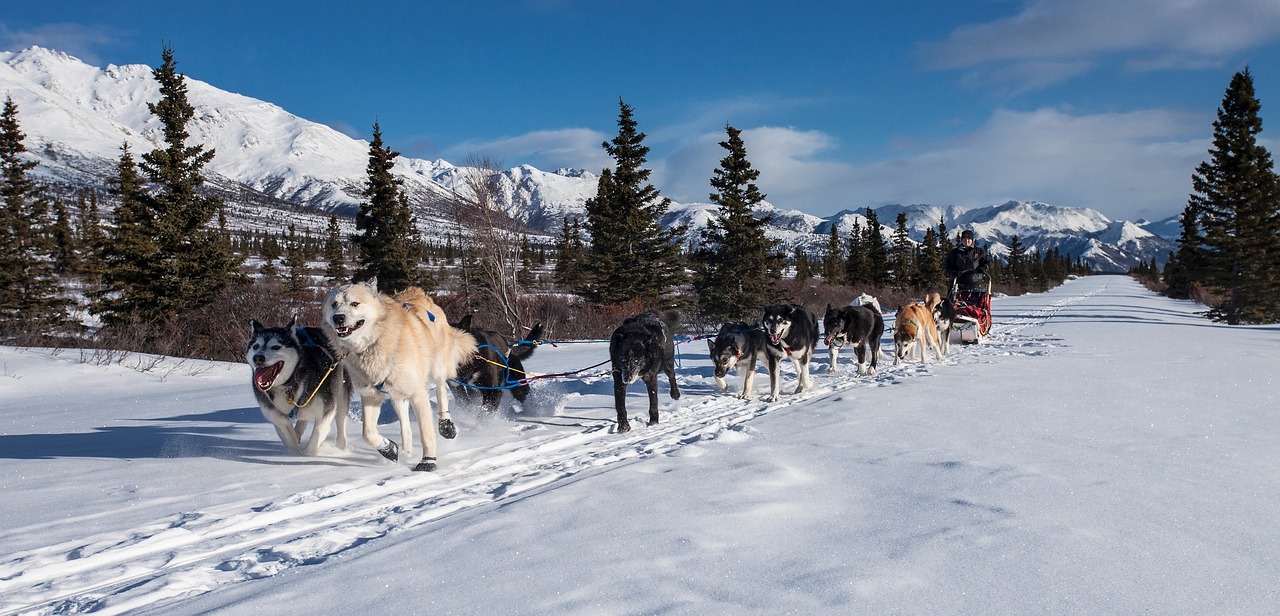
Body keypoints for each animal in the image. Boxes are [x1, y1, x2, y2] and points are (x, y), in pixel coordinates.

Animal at [322, 279, 478, 471]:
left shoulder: (418, 393)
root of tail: (417, 292)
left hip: (437, 367)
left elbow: (426, 432)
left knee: (441, 389)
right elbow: (367, 433)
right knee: (404, 421)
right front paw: (388, 448)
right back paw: (407, 449)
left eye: (355, 303)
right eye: (334, 304)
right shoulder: (371, 395)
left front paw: (428, 461)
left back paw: (446, 425)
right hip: (397, 394)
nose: (338, 318)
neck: (373, 344)